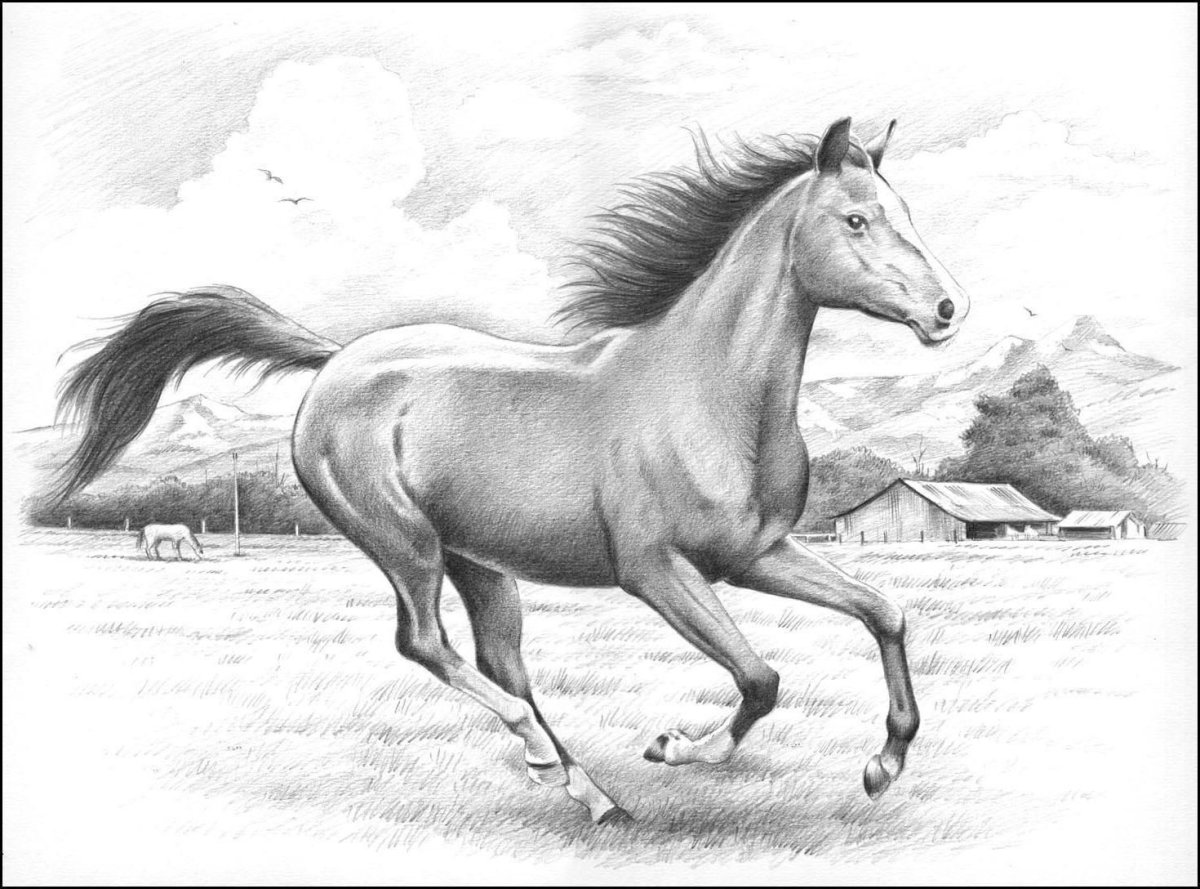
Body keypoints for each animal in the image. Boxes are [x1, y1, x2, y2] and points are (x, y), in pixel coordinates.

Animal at [53, 117, 969, 825]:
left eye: (905, 213)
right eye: (857, 220)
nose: (948, 309)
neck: (706, 391)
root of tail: (339, 360)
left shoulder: (756, 554)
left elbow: (885, 614)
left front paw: (882, 765)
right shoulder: (657, 571)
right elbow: (761, 676)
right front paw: (675, 746)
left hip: (480, 562)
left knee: (503, 663)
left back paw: (593, 795)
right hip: (406, 545)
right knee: (425, 642)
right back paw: (546, 756)